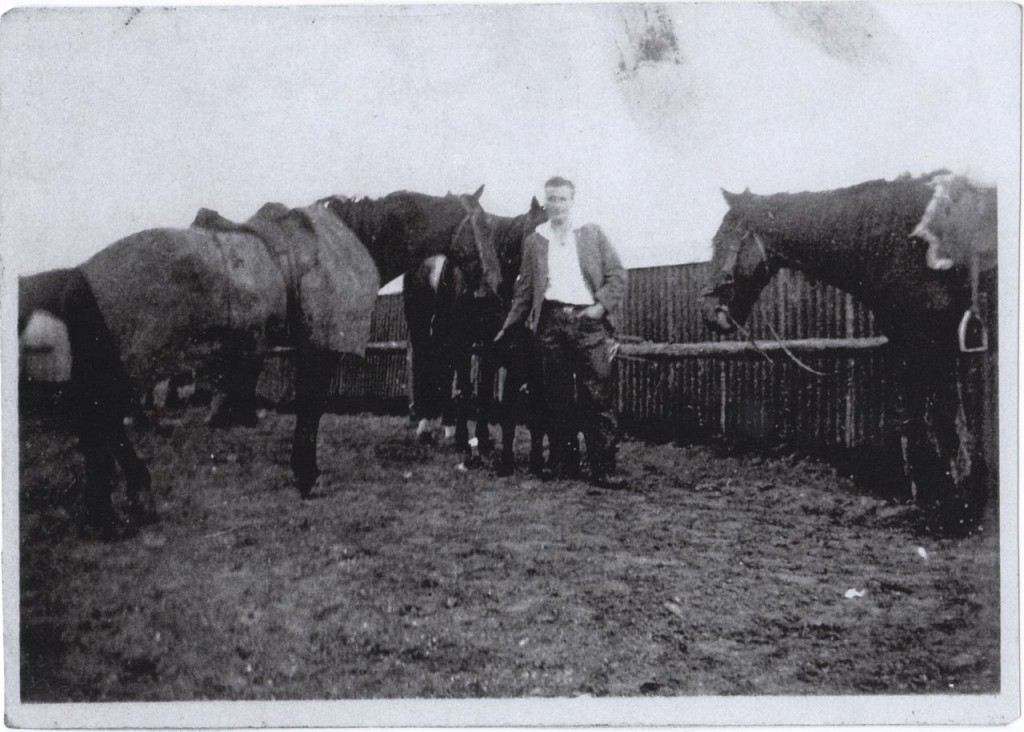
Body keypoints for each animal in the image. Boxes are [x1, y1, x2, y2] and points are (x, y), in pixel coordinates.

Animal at [18, 186, 491, 536]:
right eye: (484, 226)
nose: (493, 283)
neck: (350, 241)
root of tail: (81, 273)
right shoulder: (318, 349)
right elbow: (310, 409)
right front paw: (306, 475)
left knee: (101, 424)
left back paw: (121, 504)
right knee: (102, 421)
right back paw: (121, 505)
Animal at [397, 198, 552, 475]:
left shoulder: (491, 344)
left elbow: (484, 394)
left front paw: (481, 439)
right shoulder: (463, 341)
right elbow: (467, 389)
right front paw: (465, 440)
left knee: (445, 373)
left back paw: (448, 427)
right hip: (424, 331)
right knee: (427, 369)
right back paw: (427, 428)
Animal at [700, 171, 995, 536]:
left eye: (721, 242)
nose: (709, 313)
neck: (900, 239)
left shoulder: (930, 343)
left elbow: (940, 420)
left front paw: (954, 511)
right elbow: (929, 419)